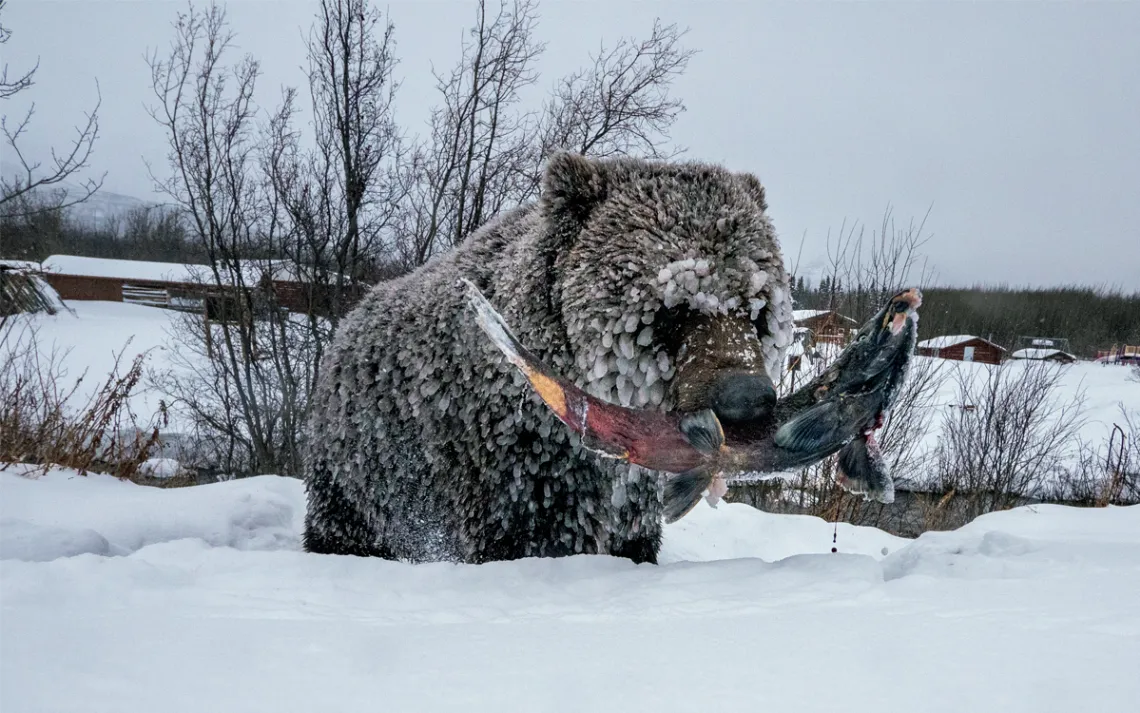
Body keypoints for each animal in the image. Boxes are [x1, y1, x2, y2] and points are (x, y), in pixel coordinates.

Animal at [303, 152, 794, 564]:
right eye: (673, 309)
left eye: (757, 309)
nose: (746, 399)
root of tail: (349, 319)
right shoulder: (519, 463)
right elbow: (531, 538)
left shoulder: (629, 493)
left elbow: (634, 539)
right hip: (363, 465)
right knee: (346, 521)